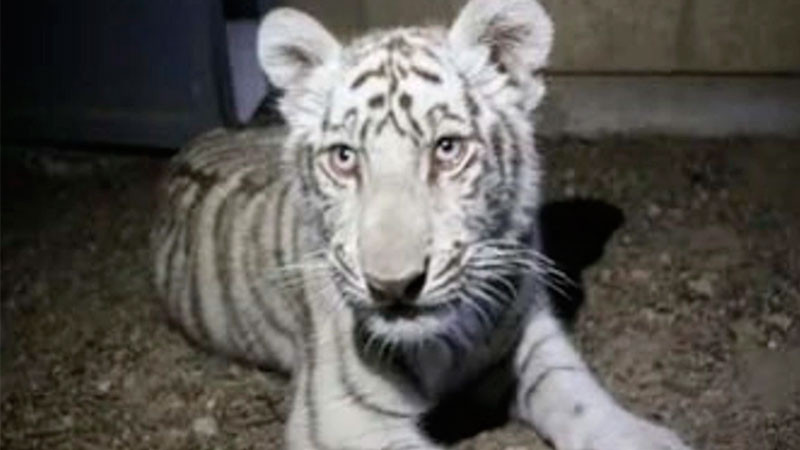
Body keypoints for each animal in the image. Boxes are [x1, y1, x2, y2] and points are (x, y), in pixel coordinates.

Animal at [152, 0, 692, 449]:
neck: (445, 344)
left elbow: (579, 396)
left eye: (447, 148)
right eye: (344, 157)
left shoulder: (530, 337)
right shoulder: (342, 417)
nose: (392, 286)